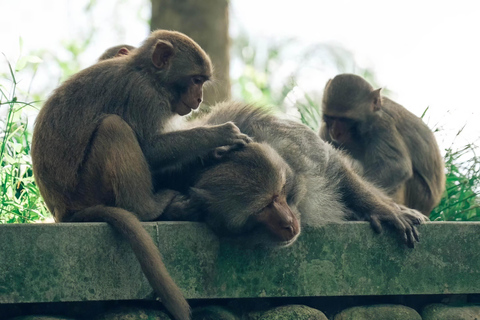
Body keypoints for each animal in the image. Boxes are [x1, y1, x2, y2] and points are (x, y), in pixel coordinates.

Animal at [31, 30, 251, 320]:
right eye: (195, 80)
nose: (199, 99)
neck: (149, 76)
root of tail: (63, 212)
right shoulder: (143, 96)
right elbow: (149, 148)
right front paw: (220, 135)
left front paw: (215, 153)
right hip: (87, 189)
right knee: (114, 127)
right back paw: (146, 209)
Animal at [161, 102, 428, 248]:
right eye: (262, 209)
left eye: (278, 195)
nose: (288, 224)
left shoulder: (294, 143)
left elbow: (333, 165)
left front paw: (382, 210)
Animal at [318, 74, 446, 216]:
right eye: (331, 118)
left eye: (346, 120)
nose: (335, 131)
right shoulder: (325, 129)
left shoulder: (383, 124)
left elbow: (396, 166)